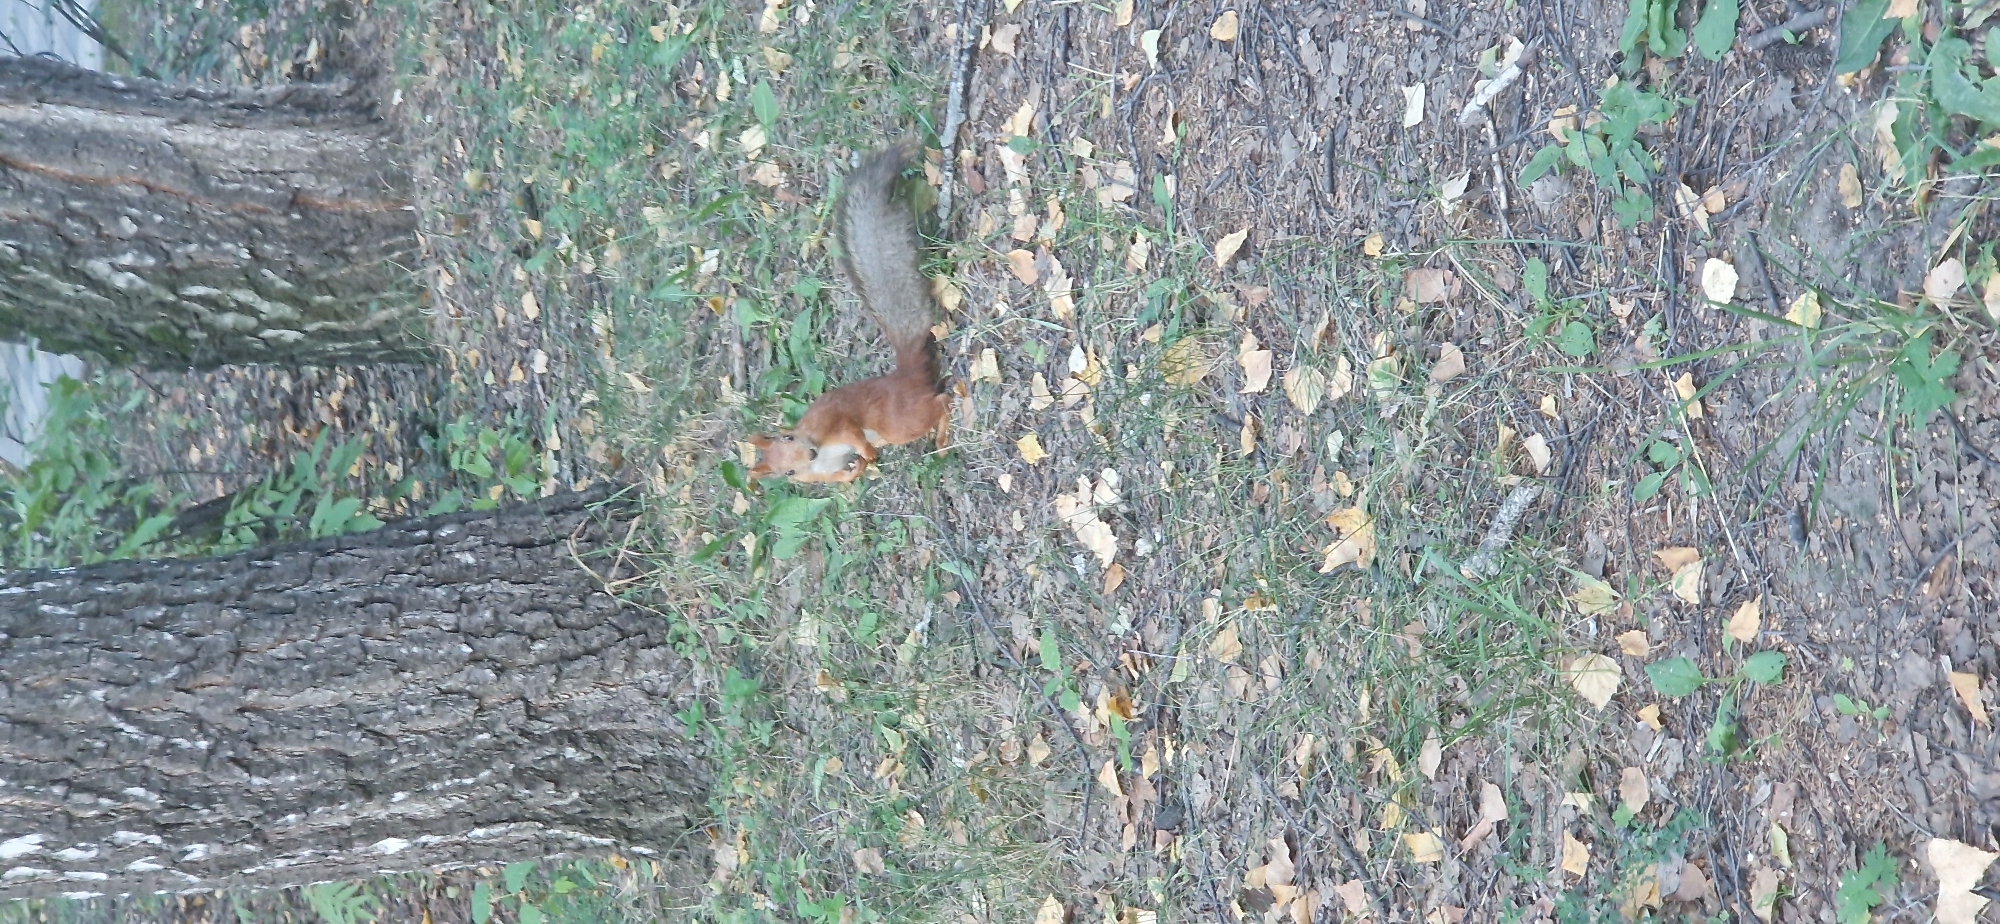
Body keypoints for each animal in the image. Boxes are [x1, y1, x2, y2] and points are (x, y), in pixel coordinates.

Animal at [748, 138, 951, 484]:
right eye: (787, 472)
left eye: (788, 437)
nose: (810, 454)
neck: (820, 455)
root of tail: (904, 375)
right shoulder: (821, 476)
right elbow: (843, 477)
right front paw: (859, 467)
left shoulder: (837, 425)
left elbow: (852, 432)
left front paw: (865, 453)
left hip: (894, 421)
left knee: (942, 400)